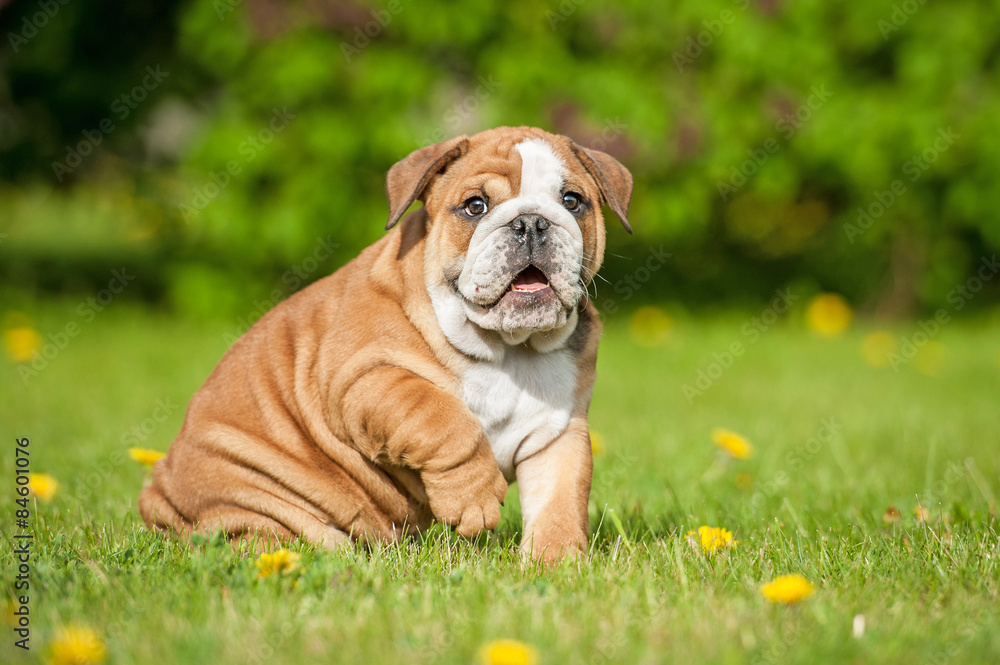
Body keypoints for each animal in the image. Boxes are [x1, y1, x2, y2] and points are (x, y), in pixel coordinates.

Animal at [139, 124, 632, 560]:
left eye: (572, 201)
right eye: (475, 206)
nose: (531, 222)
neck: (510, 347)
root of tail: (157, 502)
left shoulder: (557, 432)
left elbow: (561, 502)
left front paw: (556, 562)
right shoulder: (366, 381)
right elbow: (444, 418)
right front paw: (473, 499)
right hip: (257, 502)